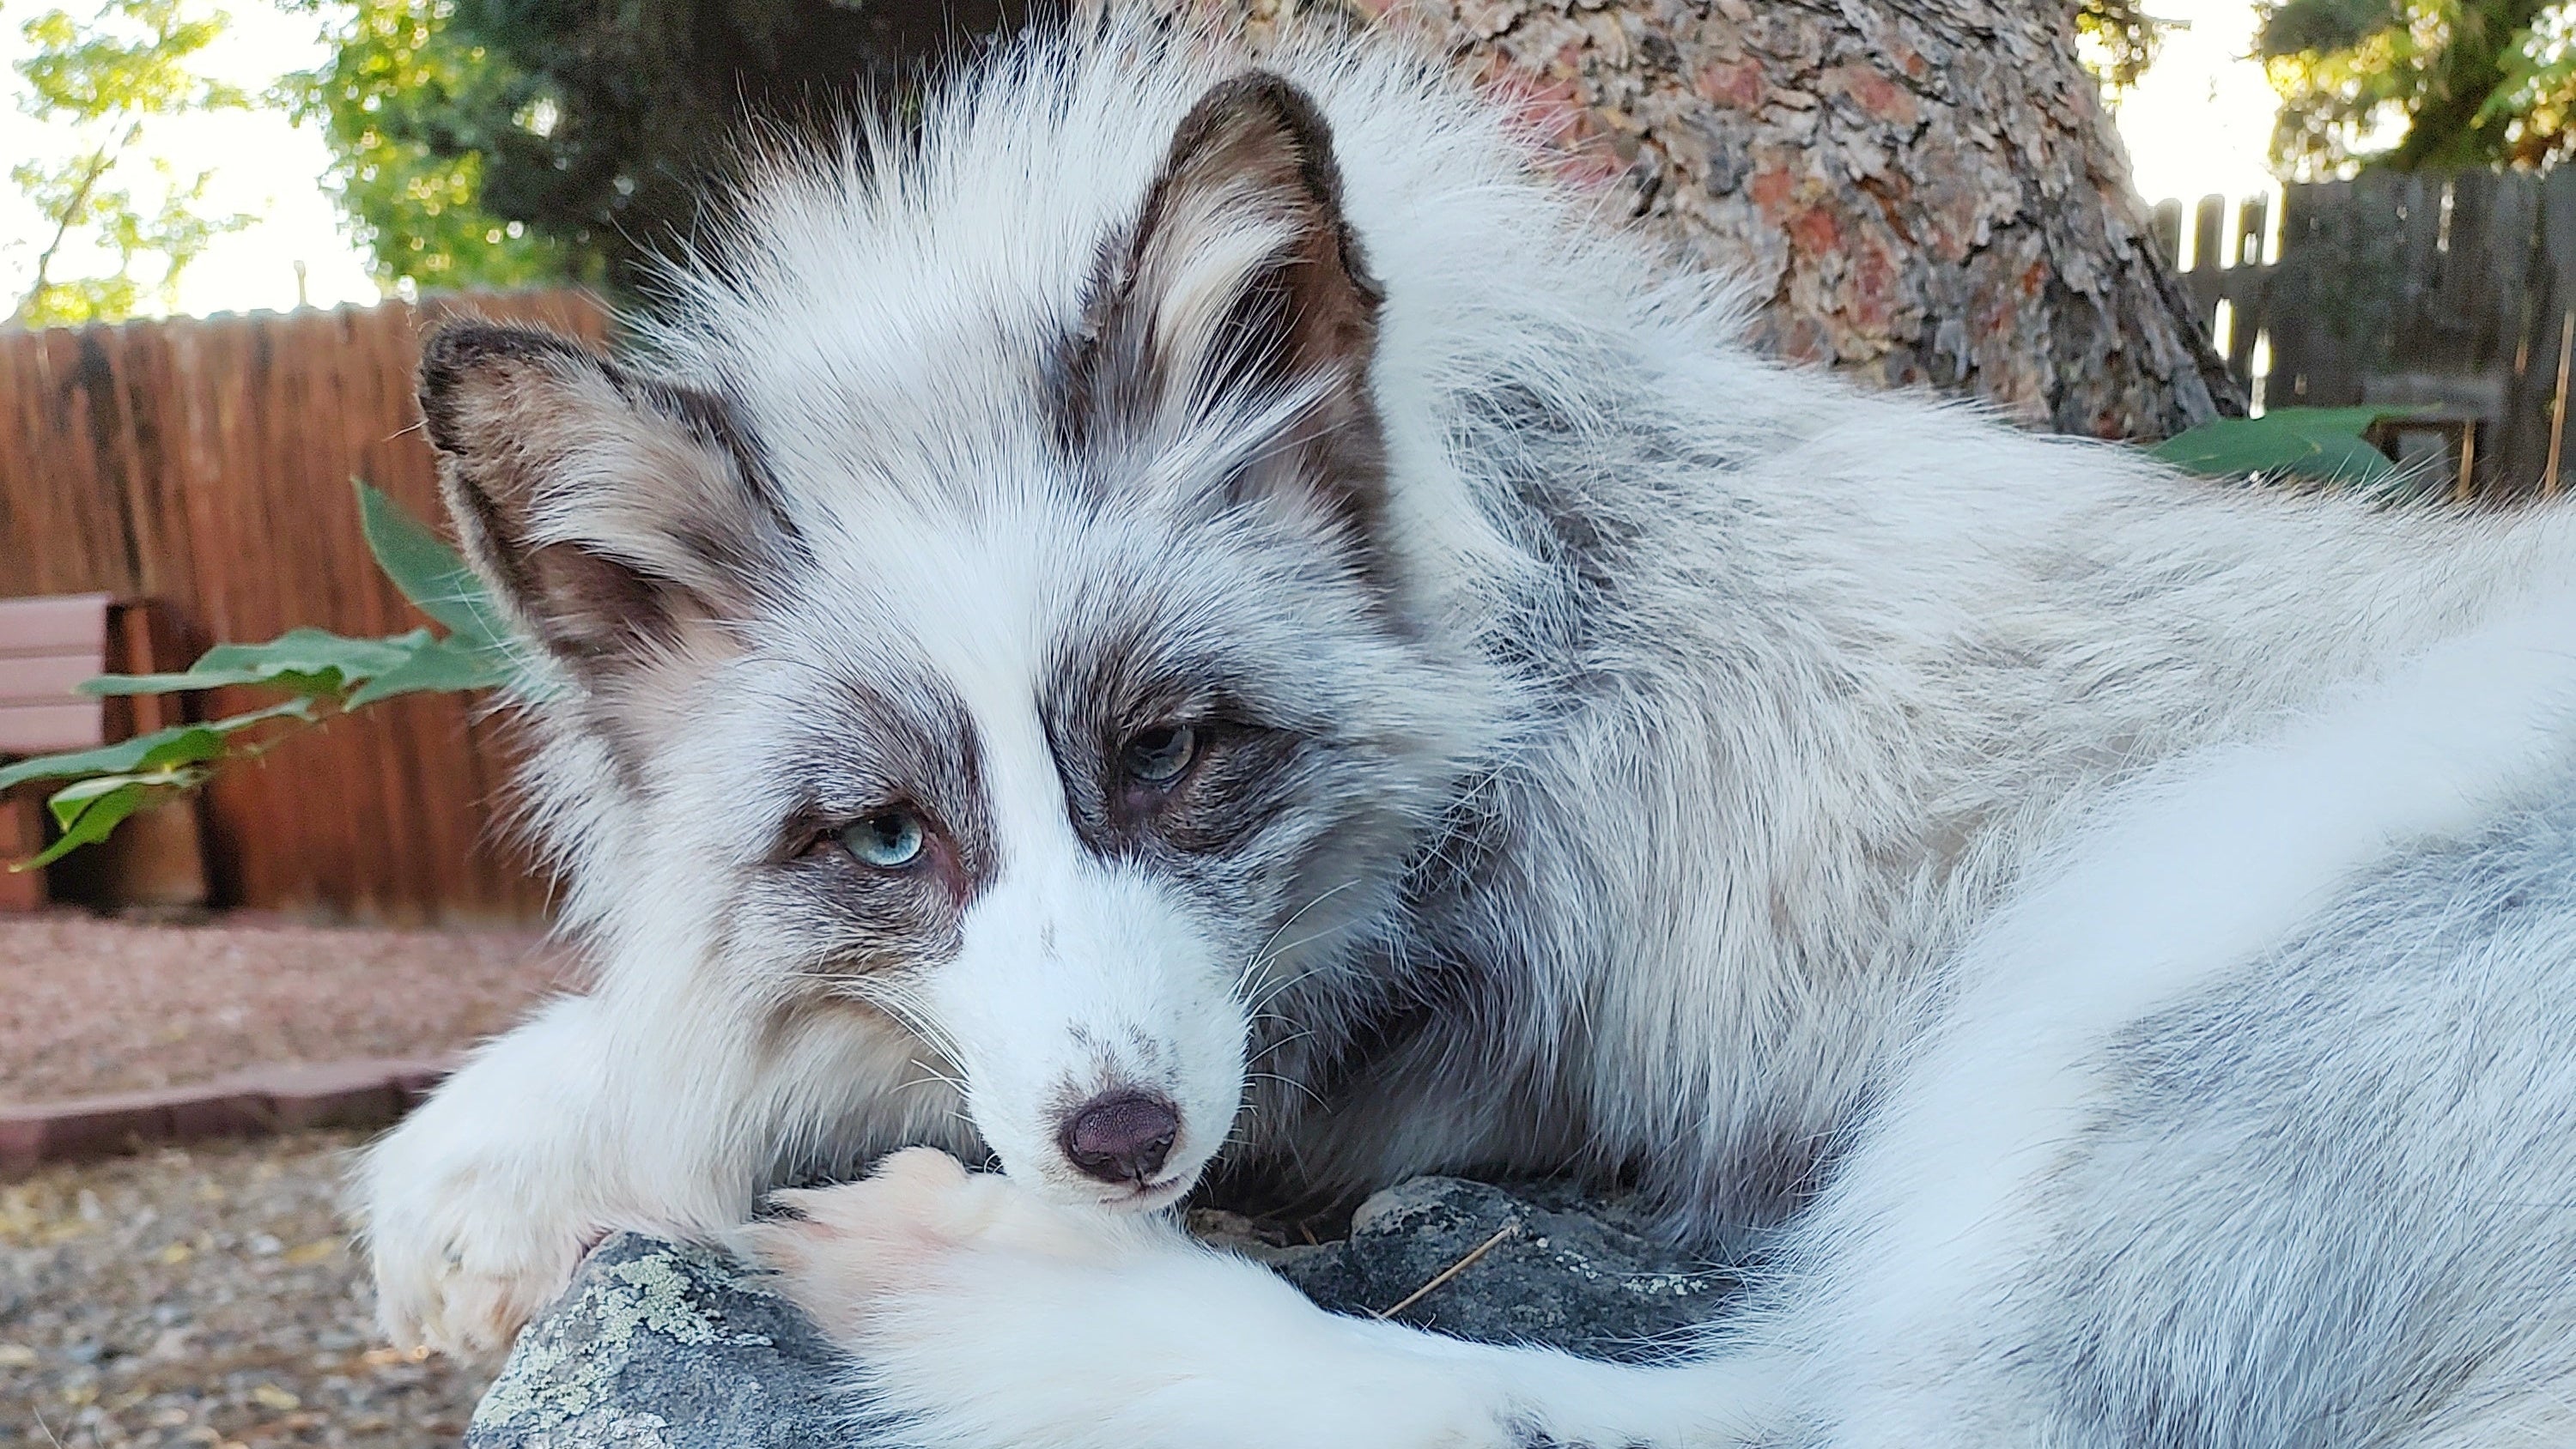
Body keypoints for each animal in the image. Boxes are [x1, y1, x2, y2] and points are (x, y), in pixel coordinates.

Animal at [360, 14, 2576, 1447]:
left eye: (1168, 750)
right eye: (889, 836)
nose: (1120, 1143)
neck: (1521, 604)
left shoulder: (1376, 1047)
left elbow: (728, 1053)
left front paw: (534, 1135)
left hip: (2157, 927)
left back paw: (994, 1291)